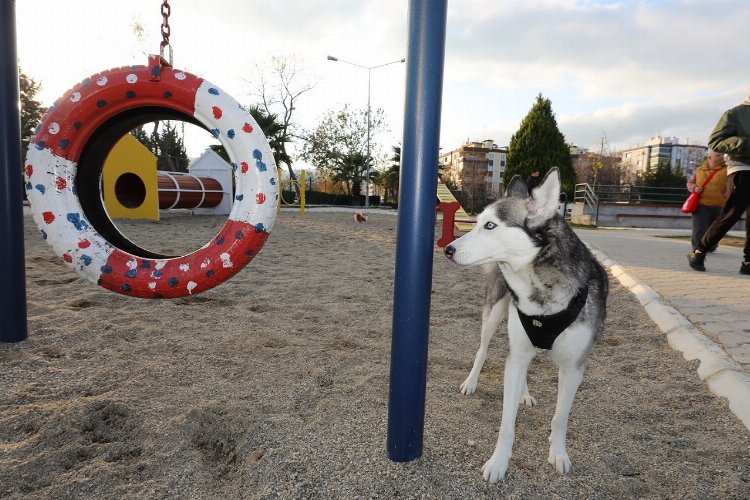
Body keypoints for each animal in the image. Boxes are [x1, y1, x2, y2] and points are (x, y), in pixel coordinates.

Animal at [444, 169, 608, 484]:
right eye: (478, 221)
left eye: (490, 225)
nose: (448, 249)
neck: (538, 287)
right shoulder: (518, 352)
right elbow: (507, 423)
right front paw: (498, 462)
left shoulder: (573, 368)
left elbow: (560, 418)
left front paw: (558, 453)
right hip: (494, 315)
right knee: (483, 350)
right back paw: (472, 382)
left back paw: (524, 393)